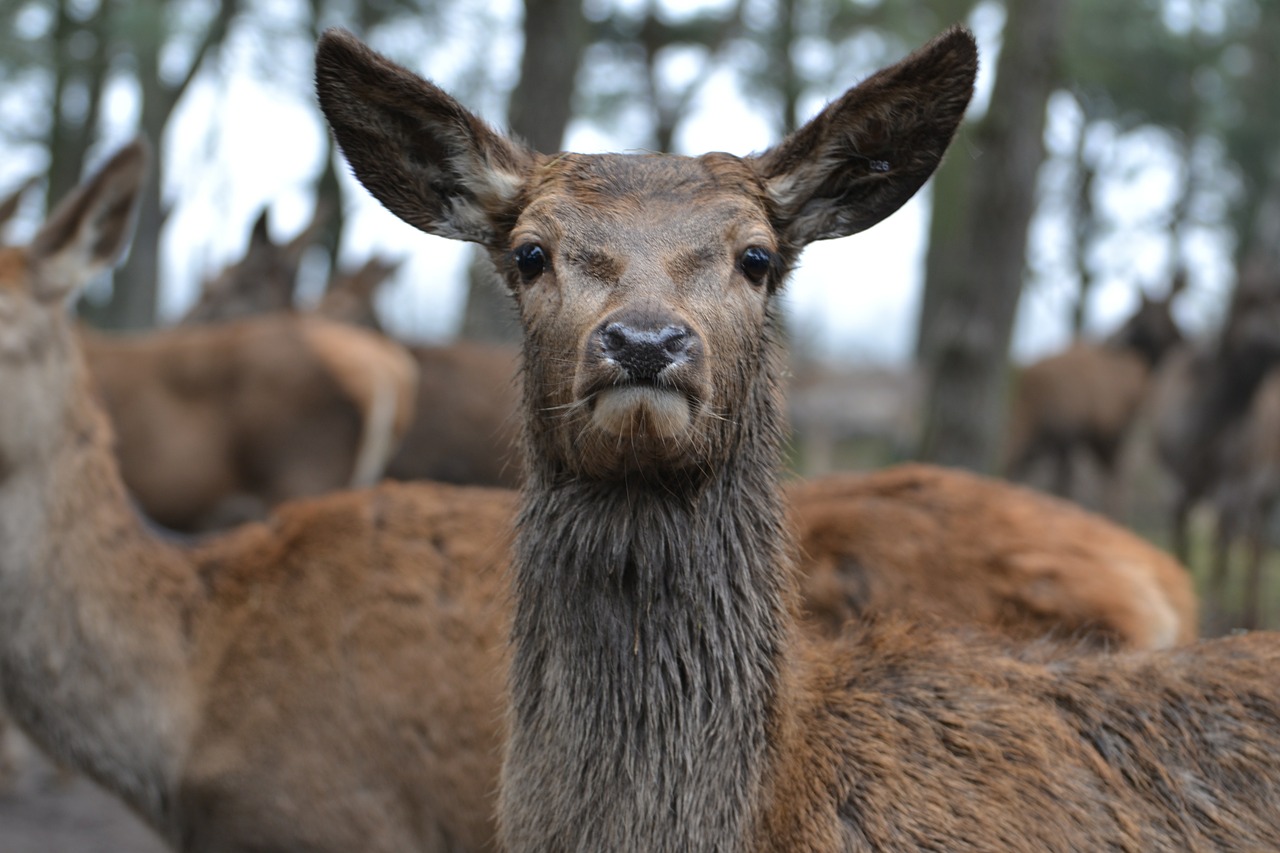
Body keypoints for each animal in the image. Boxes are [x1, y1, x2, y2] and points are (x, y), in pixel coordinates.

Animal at [1003, 275, 1182, 512]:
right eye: (1167, 310)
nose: (1183, 337)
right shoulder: (1106, 435)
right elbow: (1111, 489)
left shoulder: (1080, 441)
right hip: (1035, 435)